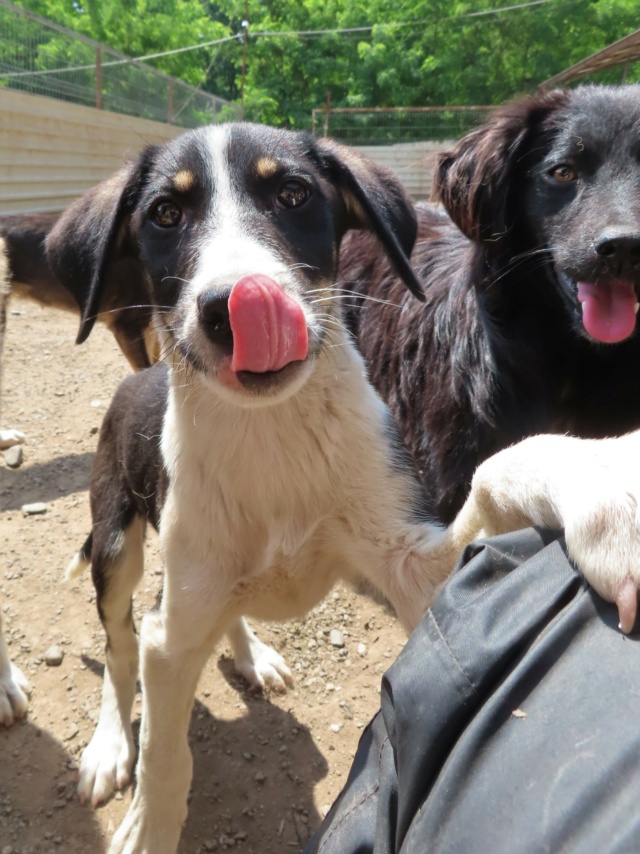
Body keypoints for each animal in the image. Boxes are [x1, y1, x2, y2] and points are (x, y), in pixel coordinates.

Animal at [47, 122, 460, 854]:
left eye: (293, 193)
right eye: (165, 213)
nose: (236, 305)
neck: (272, 434)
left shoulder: (409, 557)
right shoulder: (168, 637)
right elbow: (164, 755)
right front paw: (148, 826)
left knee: (225, 610)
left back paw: (251, 654)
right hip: (116, 545)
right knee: (120, 648)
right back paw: (108, 746)